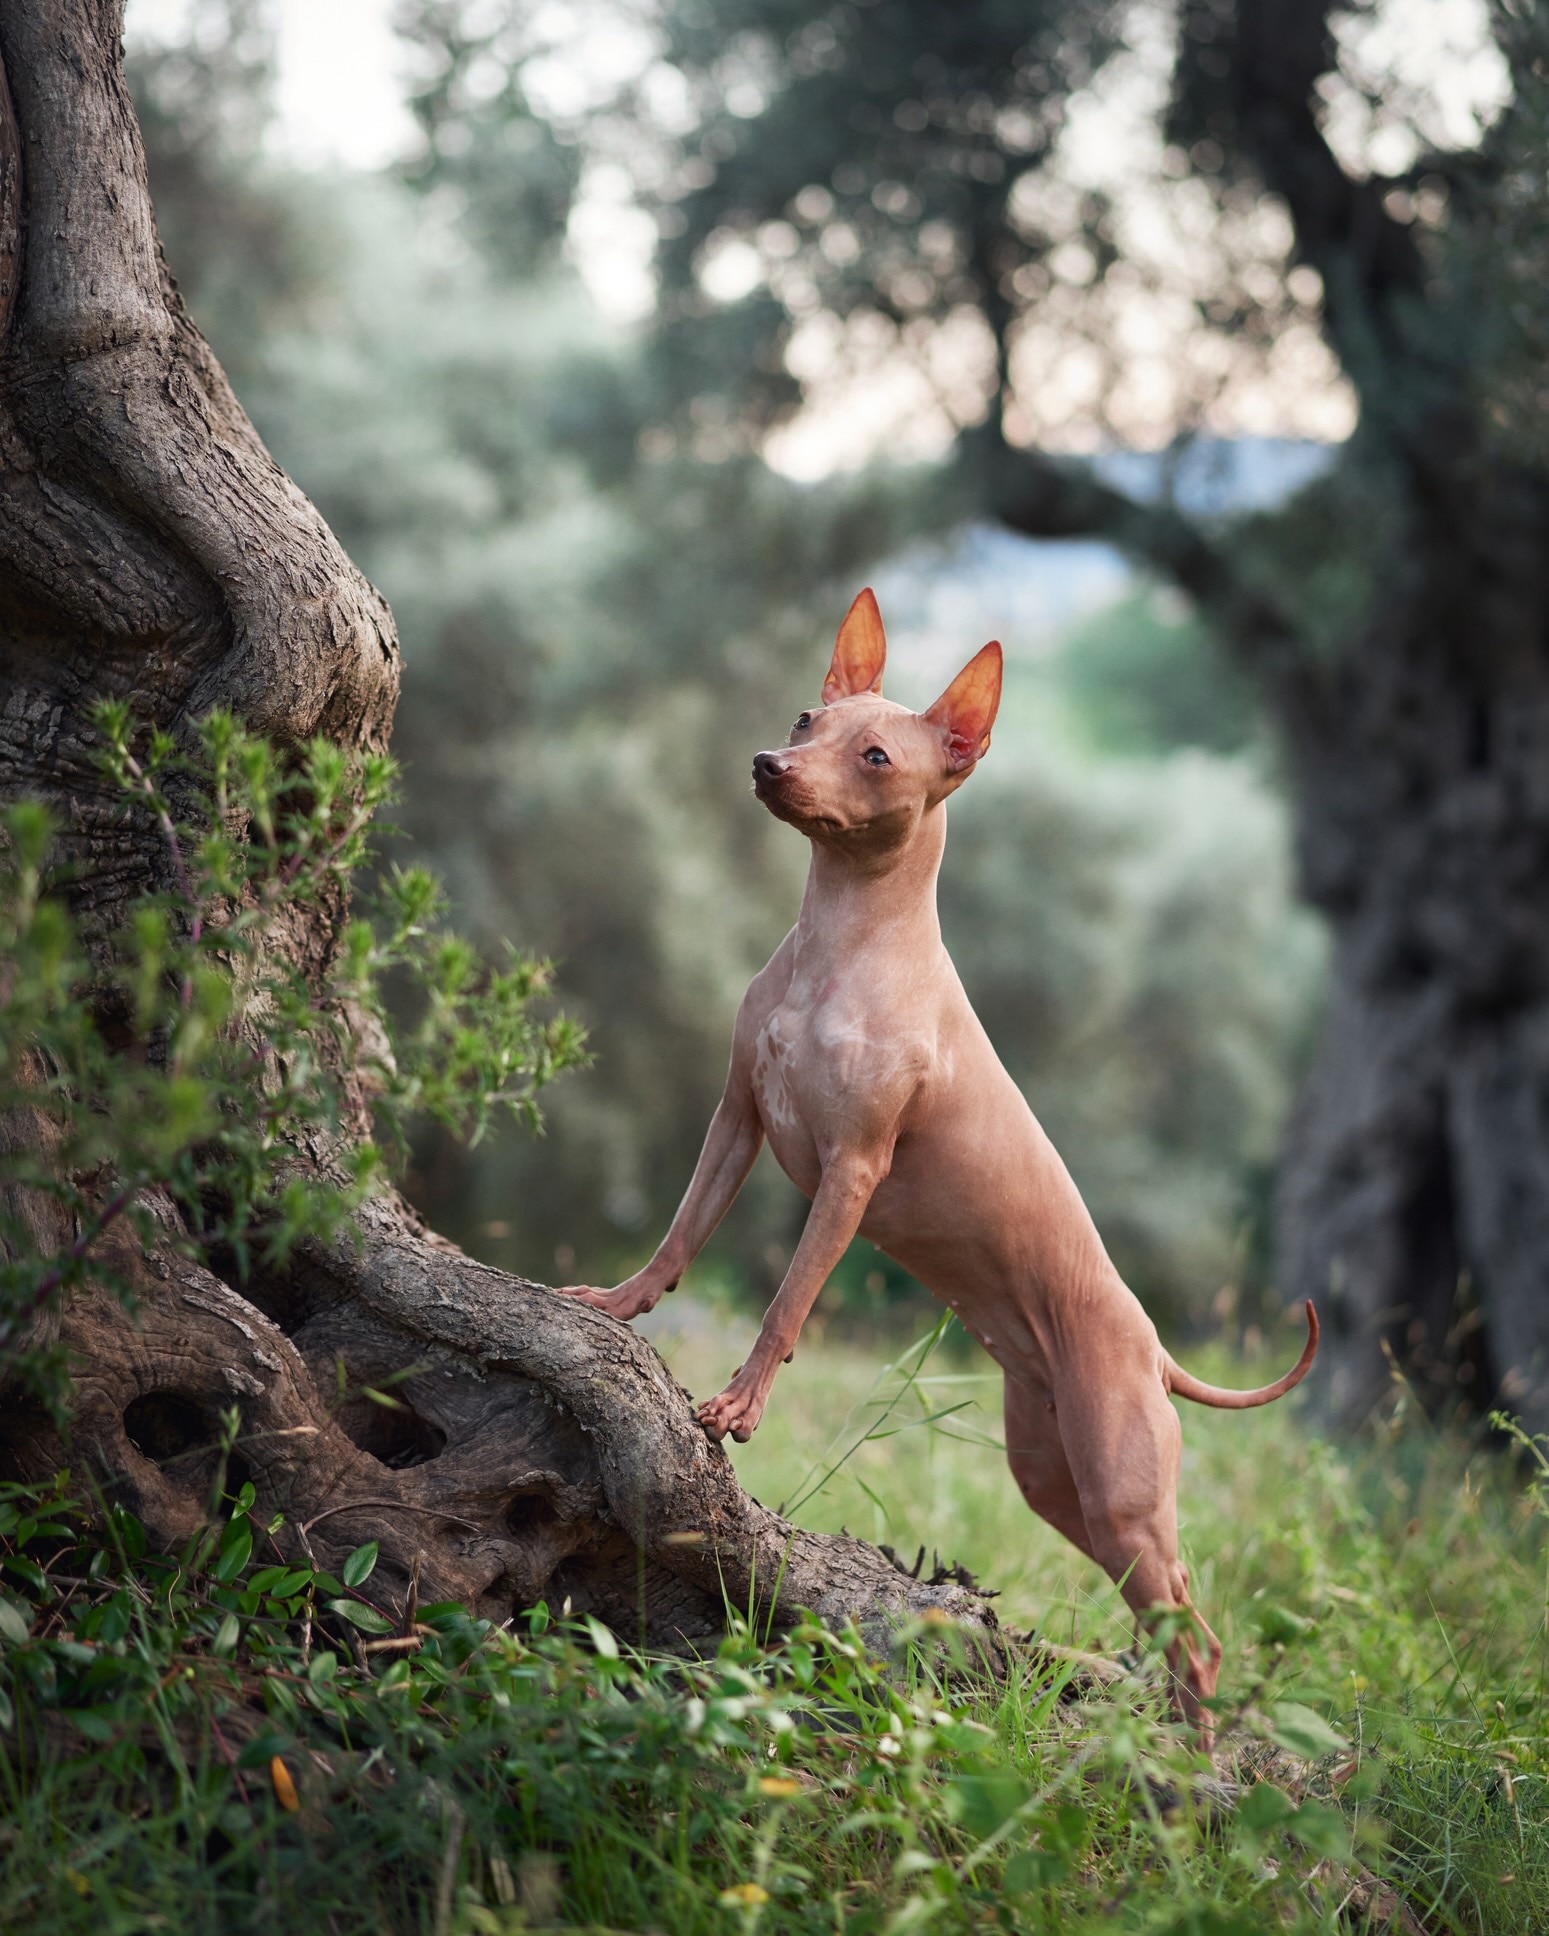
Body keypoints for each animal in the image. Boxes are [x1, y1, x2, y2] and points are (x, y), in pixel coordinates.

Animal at [561, 580, 1316, 1734]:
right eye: (805, 718)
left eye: (875, 756)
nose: (768, 765)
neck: (840, 945)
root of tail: (1153, 1351)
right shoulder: (736, 1119)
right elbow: (679, 1234)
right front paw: (616, 1302)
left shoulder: (851, 1171)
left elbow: (786, 1302)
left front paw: (738, 1405)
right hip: (1057, 1484)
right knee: (1171, 1612)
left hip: (1122, 1491)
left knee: (1200, 1633)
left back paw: (1188, 1754)